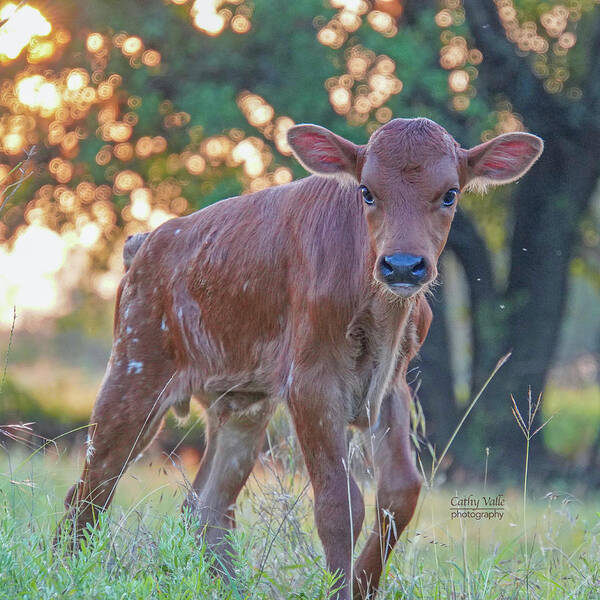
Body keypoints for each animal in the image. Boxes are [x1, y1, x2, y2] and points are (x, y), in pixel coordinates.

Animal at [58, 118, 540, 600]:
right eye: (367, 192)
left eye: (450, 193)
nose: (403, 265)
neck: (379, 310)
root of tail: (143, 245)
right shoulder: (311, 382)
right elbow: (339, 503)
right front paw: (342, 589)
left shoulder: (391, 383)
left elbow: (401, 491)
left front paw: (363, 584)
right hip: (135, 370)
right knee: (92, 487)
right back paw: (69, 570)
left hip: (242, 404)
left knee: (205, 505)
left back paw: (230, 586)